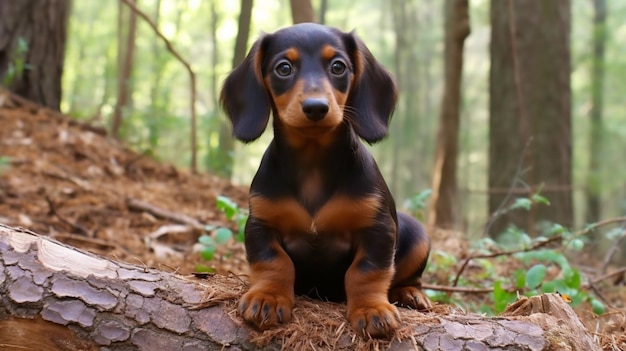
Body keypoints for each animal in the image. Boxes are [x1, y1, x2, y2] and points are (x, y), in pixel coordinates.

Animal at [219, 22, 428, 338]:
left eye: (338, 66)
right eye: (283, 68)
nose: (316, 107)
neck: (313, 162)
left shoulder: (378, 229)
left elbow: (367, 271)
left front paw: (370, 309)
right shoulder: (260, 224)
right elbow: (273, 262)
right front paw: (268, 297)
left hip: (418, 234)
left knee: (407, 277)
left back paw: (411, 293)